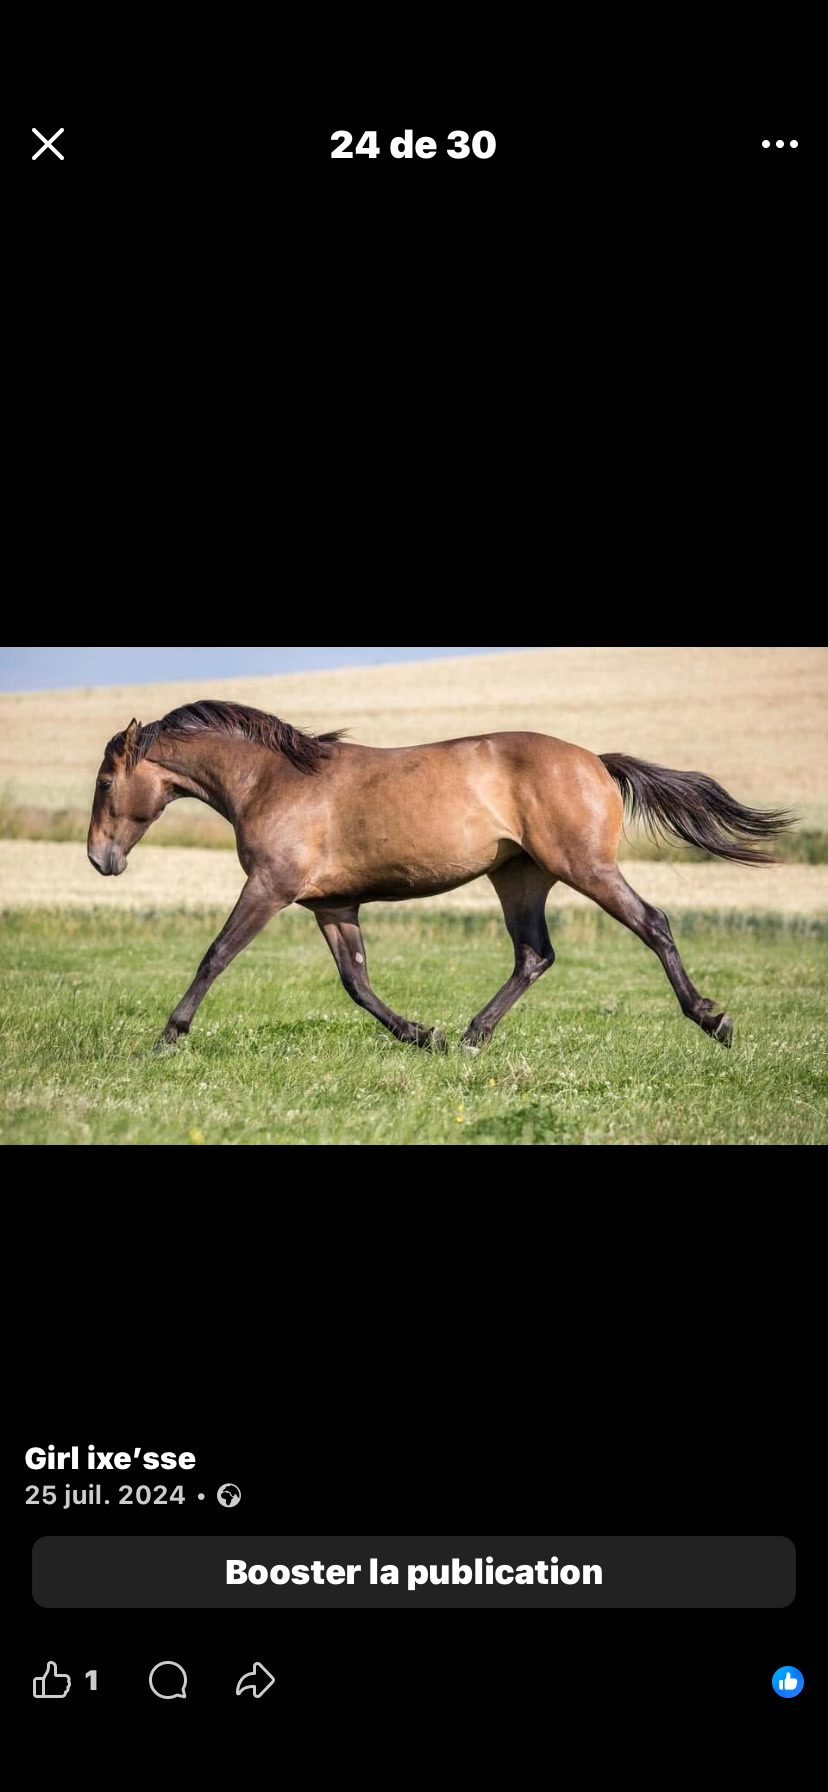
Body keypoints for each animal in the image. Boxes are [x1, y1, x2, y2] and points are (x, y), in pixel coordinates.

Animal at [86, 700, 791, 1052]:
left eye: (104, 782)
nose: (100, 860)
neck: (272, 780)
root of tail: (594, 760)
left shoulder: (270, 889)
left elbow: (215, 955)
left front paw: (168, 1037)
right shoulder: (332, 905)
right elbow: (357, 983)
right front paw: (421, 1034)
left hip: (584, 867)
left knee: (653, 923)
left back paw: (713, 1020)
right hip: (520, 878)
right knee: (534, 954)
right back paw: (471, 1038)